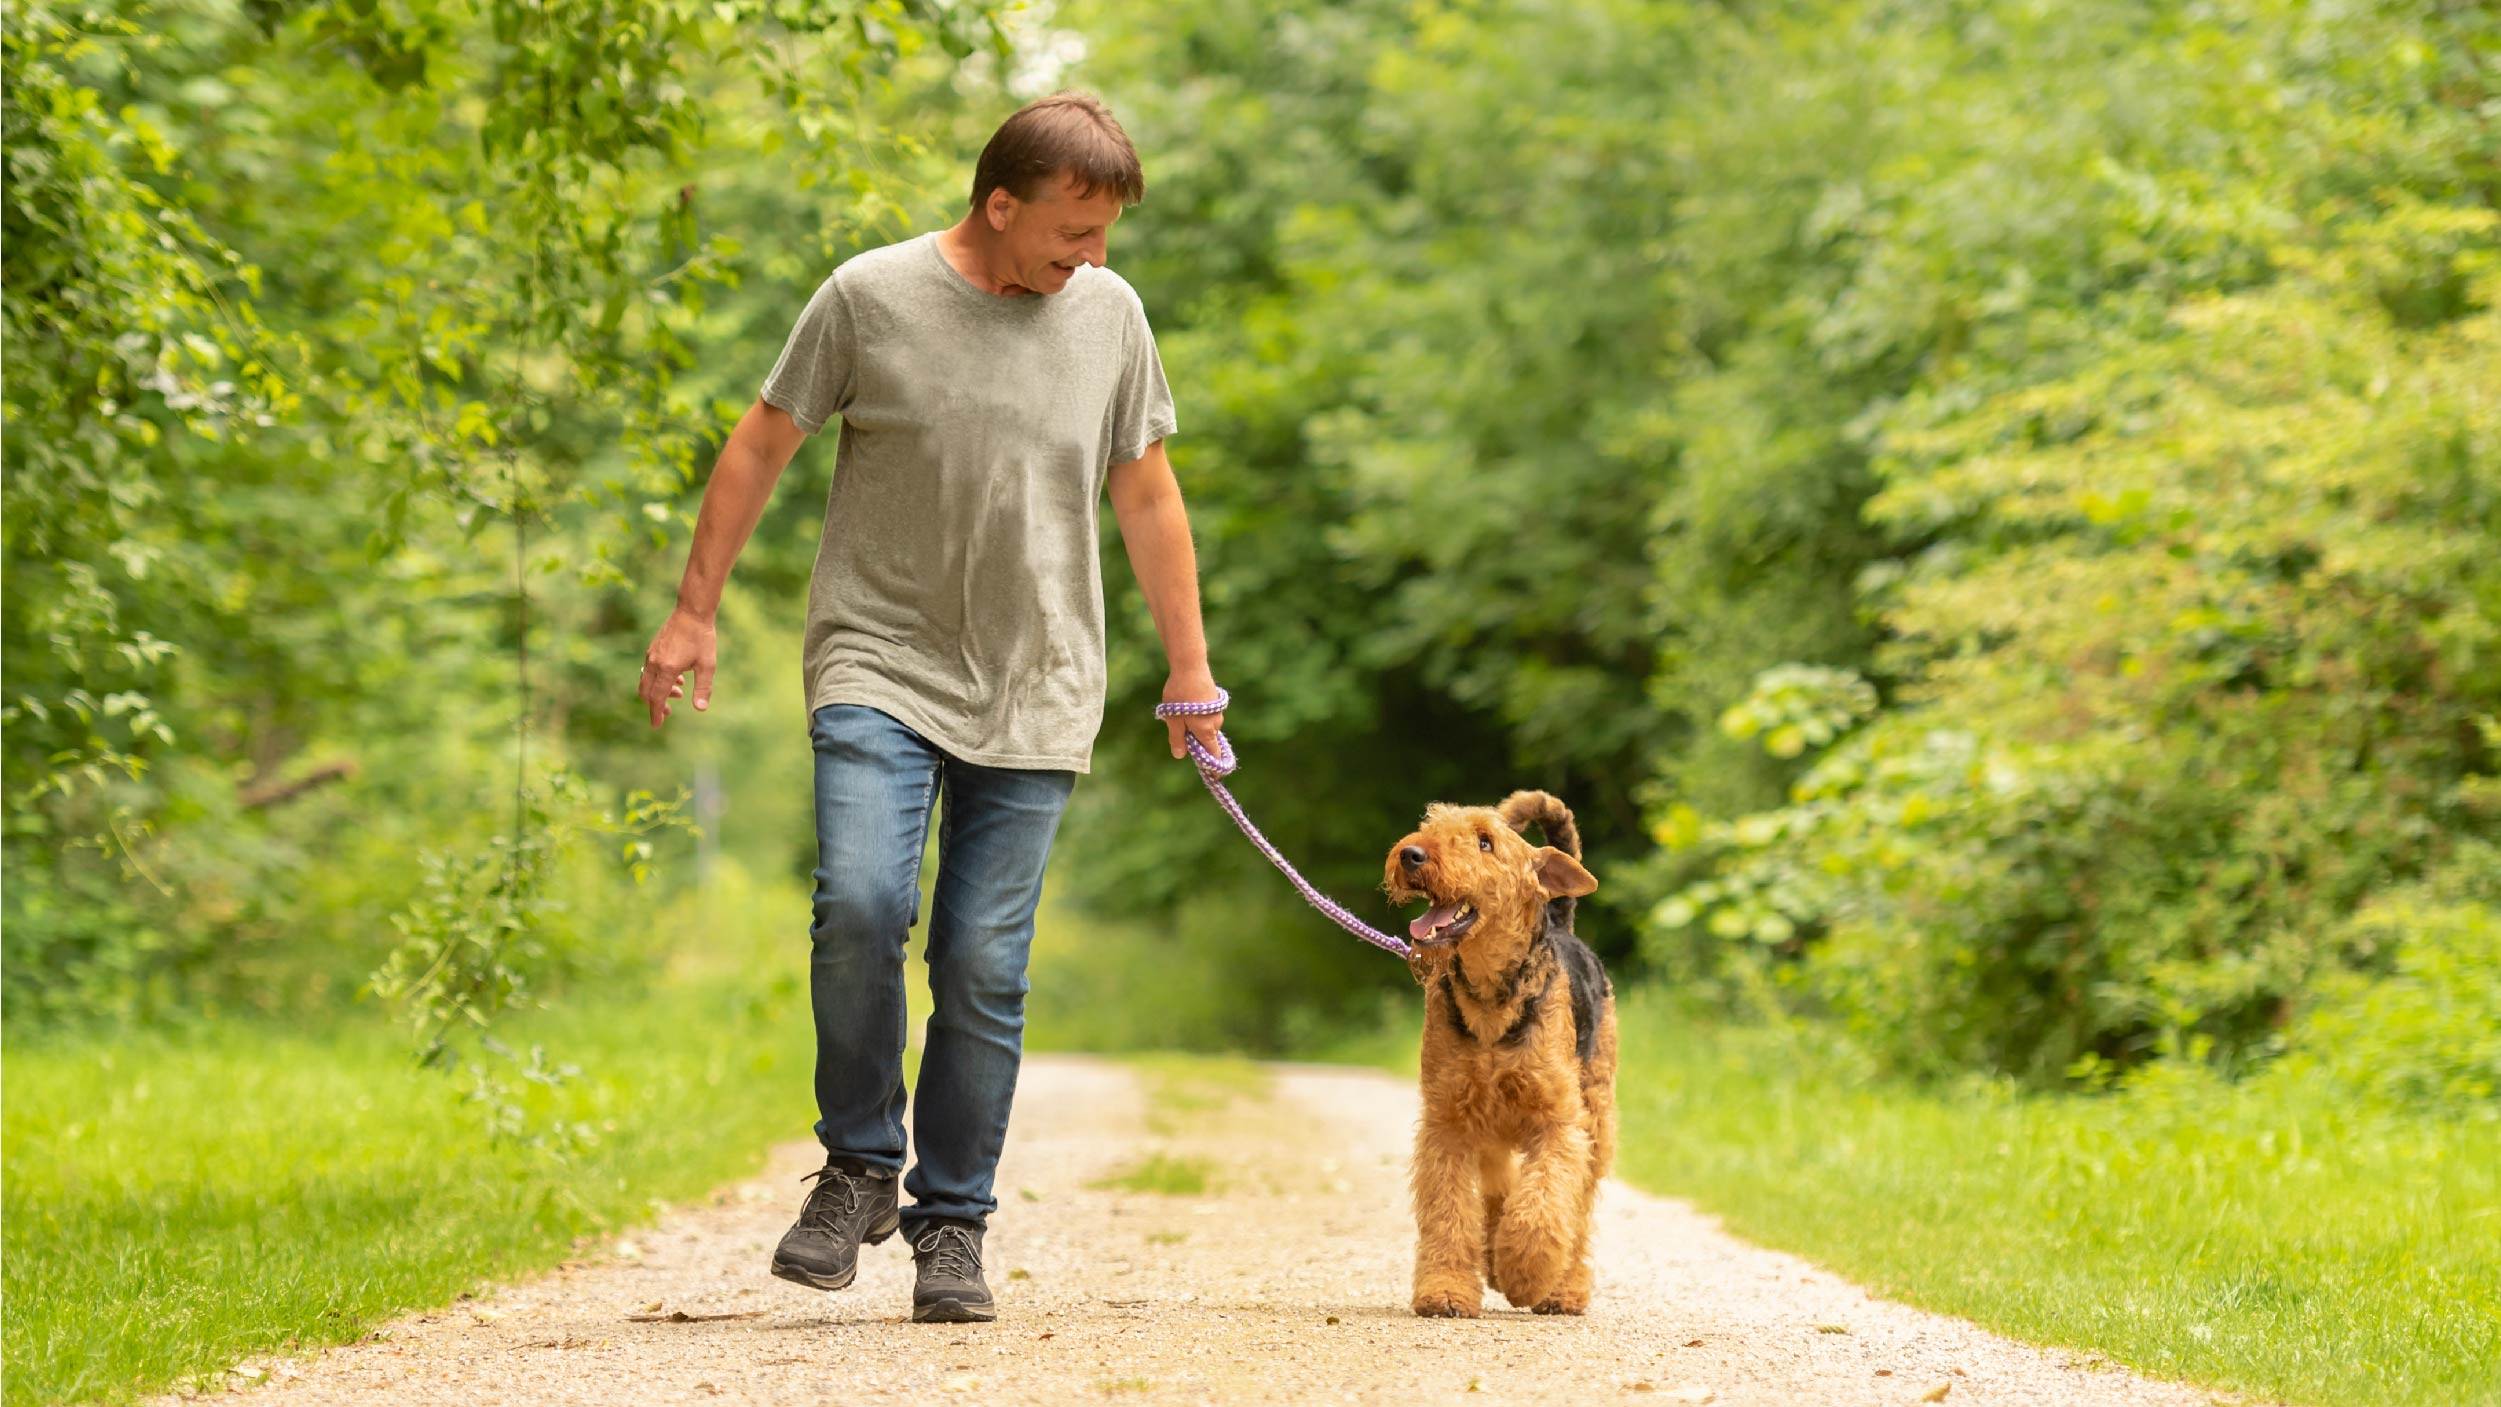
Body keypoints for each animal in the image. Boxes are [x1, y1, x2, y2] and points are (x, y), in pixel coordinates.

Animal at [1380, 789, 1610, 1319]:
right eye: (1431, 824)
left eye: (1485, 841)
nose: (1410, 855)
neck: (1490, 998)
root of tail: (1562, 923)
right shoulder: (1447, 1122)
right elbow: (1448, 1212)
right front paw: (1446, 1290)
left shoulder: (1558, 1123)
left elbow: (1545, 1202)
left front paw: (1526, 1275)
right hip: (1491, 1131)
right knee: (1499, 1189)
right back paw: (1493, 1259)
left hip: (1597, 1114)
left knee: (1578, 1207)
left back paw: (1562, 1289)